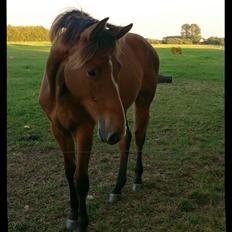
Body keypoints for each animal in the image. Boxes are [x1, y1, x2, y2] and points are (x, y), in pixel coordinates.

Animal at [39, 9, 160, 232]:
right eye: (92, 71)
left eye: (118, 69)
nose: (112, 132)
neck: (62, 92)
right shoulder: (59, 130)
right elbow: (69, 171)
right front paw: (72, 215)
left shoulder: (84, 130)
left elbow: (81, 178)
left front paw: (83, 222)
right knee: (125, 140)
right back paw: (117, 188)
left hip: (141, 103)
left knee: (139, 137)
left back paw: (137, 179)